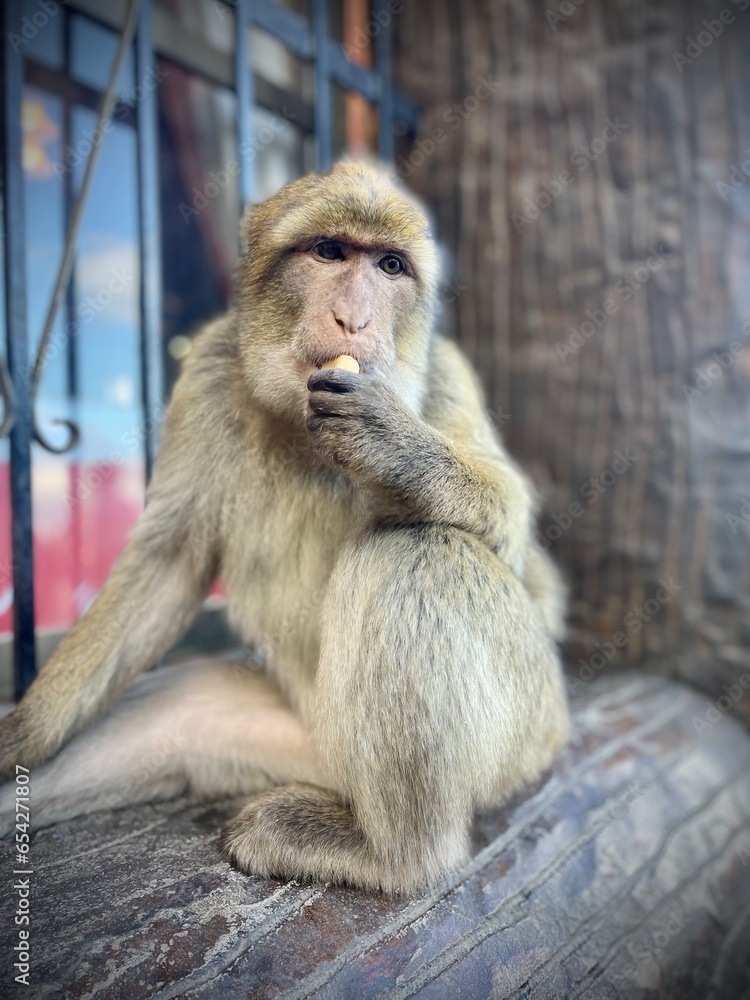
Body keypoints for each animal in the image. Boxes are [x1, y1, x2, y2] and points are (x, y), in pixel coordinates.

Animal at [0, 161, 569, 893]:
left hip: (527, 735)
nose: (354, 318)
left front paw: (401, 452)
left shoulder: (445, 375)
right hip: (303, 741)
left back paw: (395, 855)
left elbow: (521, 543)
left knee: (415, 550)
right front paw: (20, 734)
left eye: (390, 266)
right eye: (329, 252)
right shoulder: (208, 372)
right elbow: (168, 564)